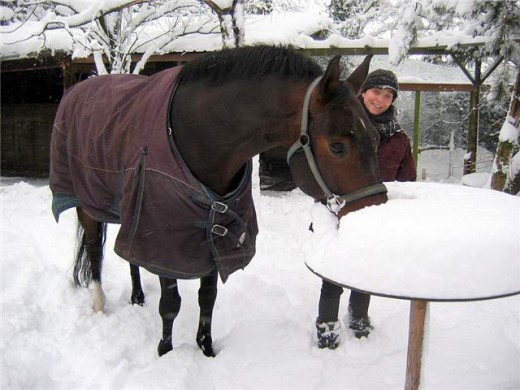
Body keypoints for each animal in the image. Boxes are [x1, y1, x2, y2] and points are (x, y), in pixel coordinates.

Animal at [49, 45, 386, 356]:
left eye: (376, 138)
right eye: (338, 146)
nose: (374, 216)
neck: (196, 136)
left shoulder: (212, 230)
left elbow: (207, 298)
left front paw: (206, 349)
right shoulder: (164, 237)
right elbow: (170, 303)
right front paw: (166, 353)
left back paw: (137, 297)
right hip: (86, 204)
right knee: (93, 249)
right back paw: (99, 303)